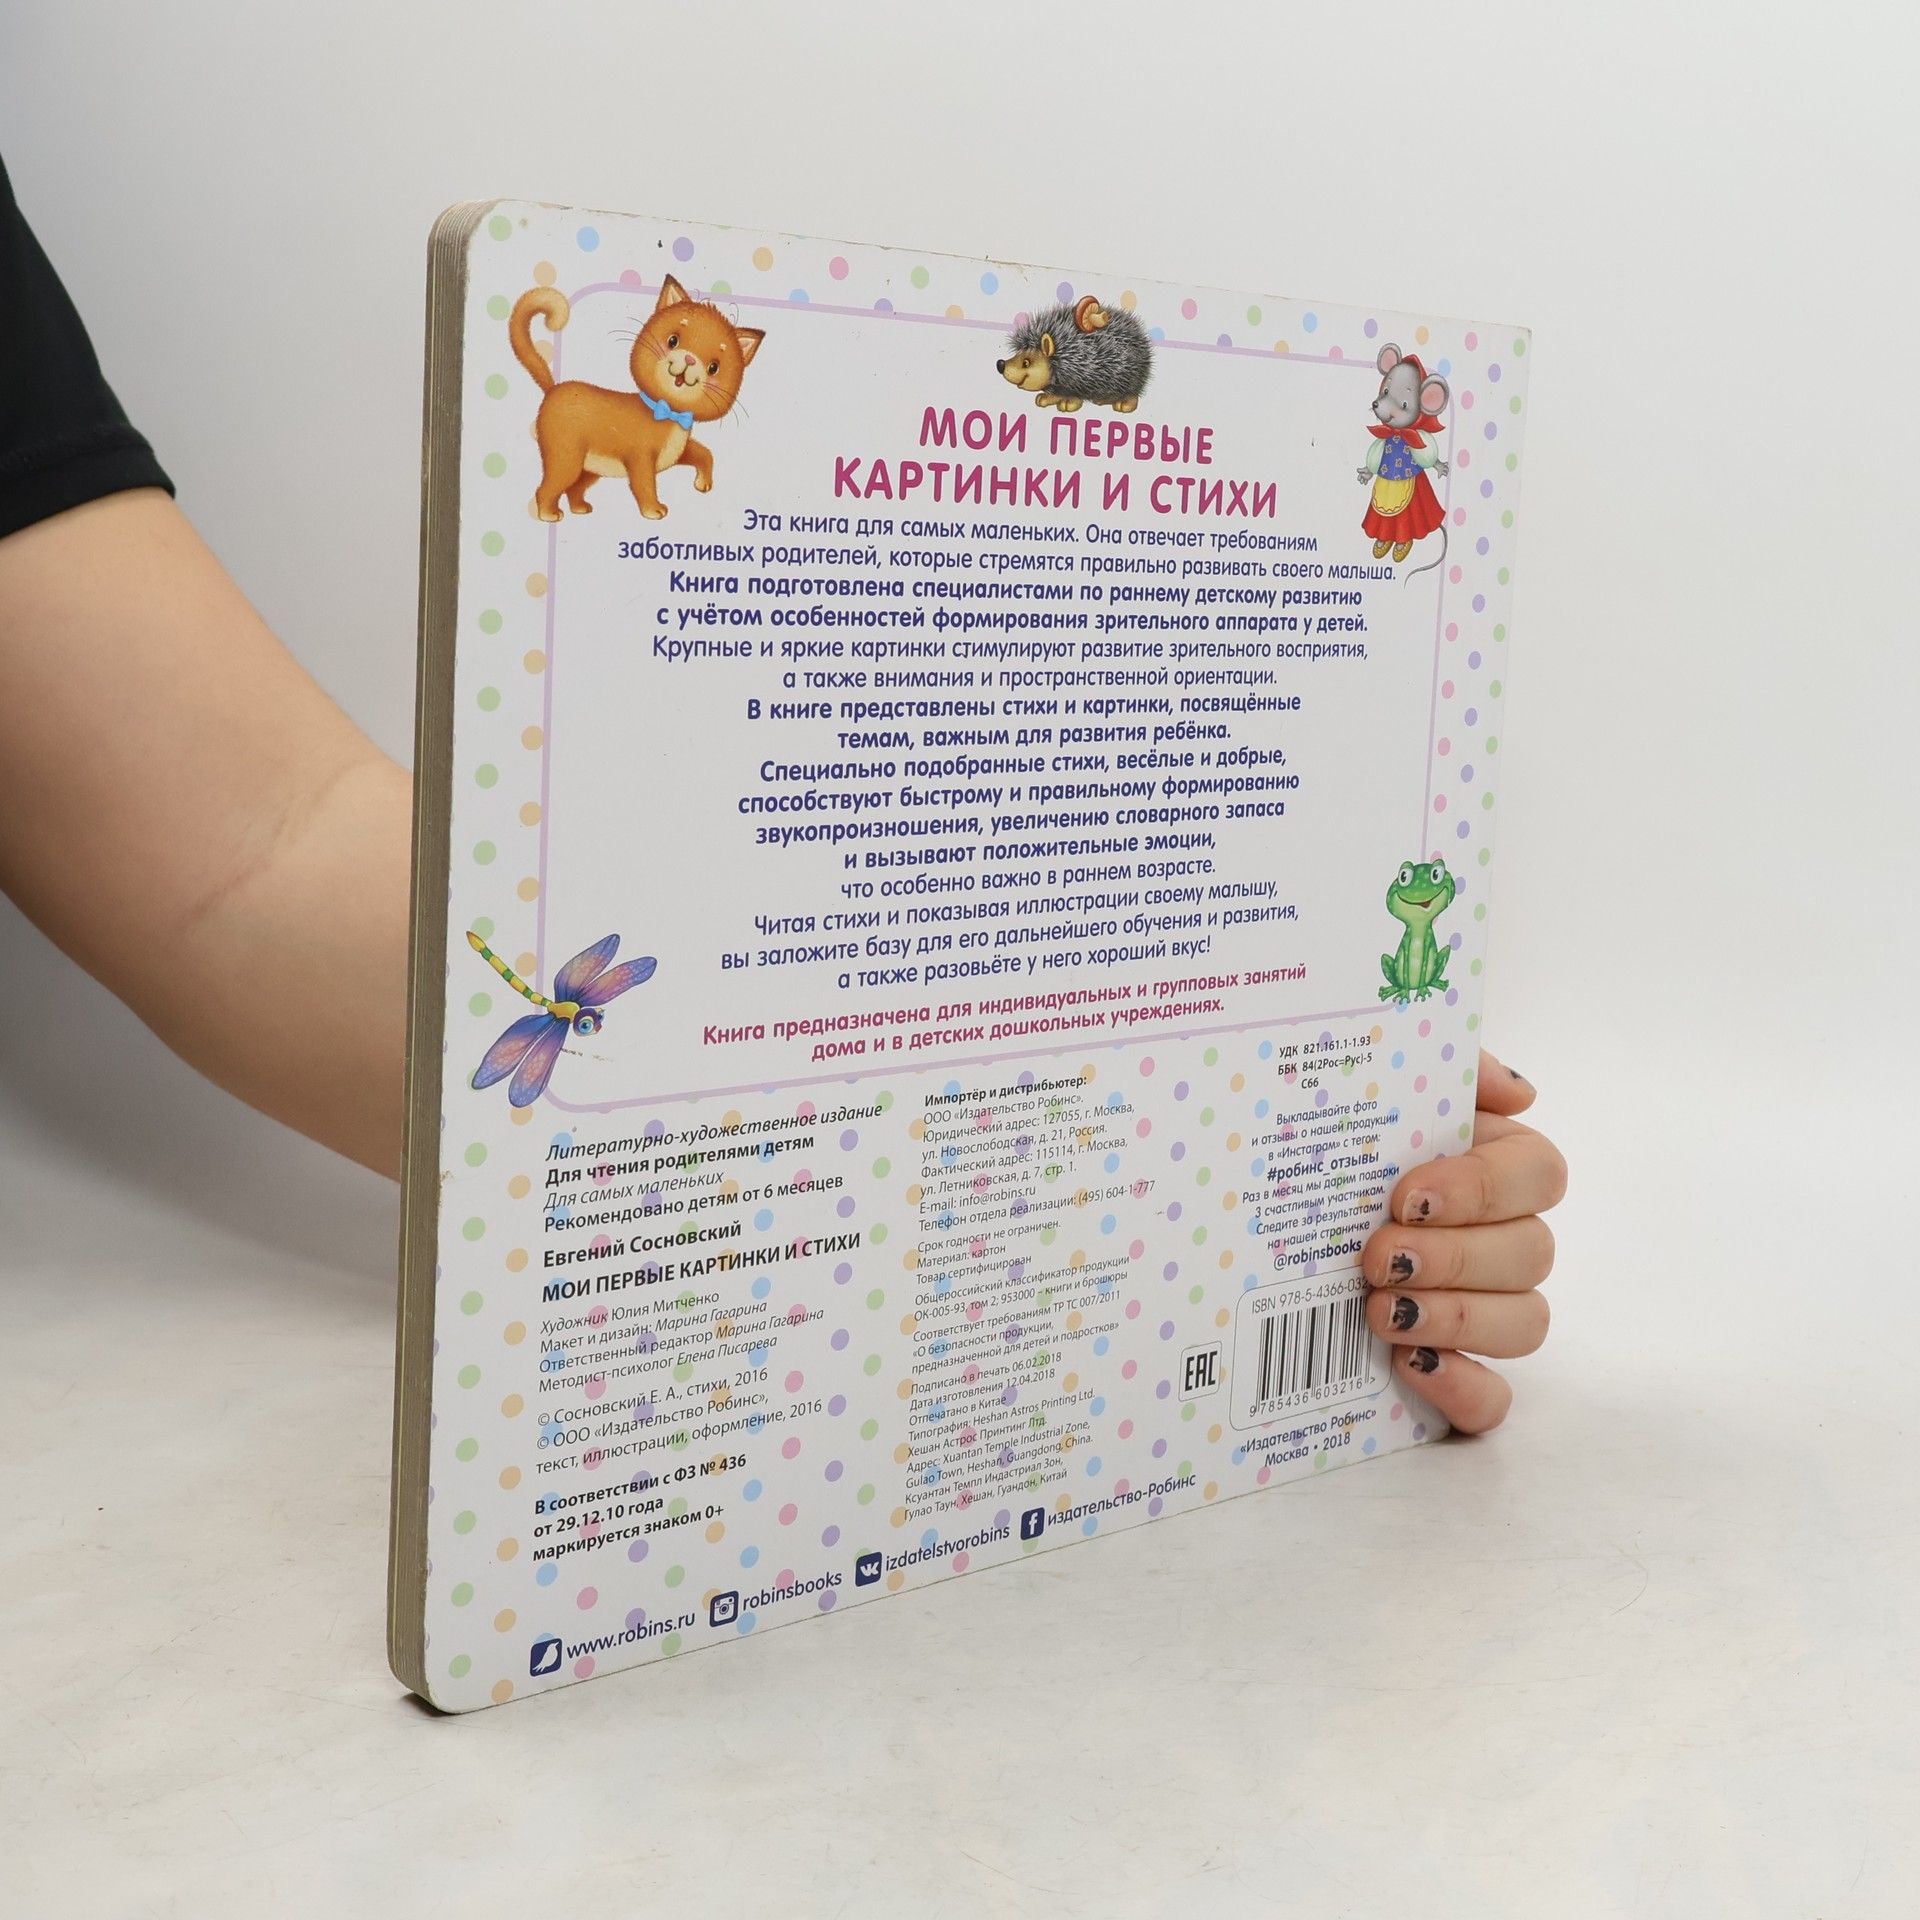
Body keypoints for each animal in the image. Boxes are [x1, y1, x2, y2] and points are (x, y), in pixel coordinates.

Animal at [508, 274, 764, 523]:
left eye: (714, 367)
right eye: (673, 340)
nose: (690, 359)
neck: (667, 412)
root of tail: (553, 388)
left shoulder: (678, 452)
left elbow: (705, 453)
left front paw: (703, 482)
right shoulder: (640, 459)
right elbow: (645, 485)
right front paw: (653, 510)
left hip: (588, 470)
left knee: (574, 489)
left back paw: (579, 508)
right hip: (566, 459)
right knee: (546, 488)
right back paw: (548, 513)